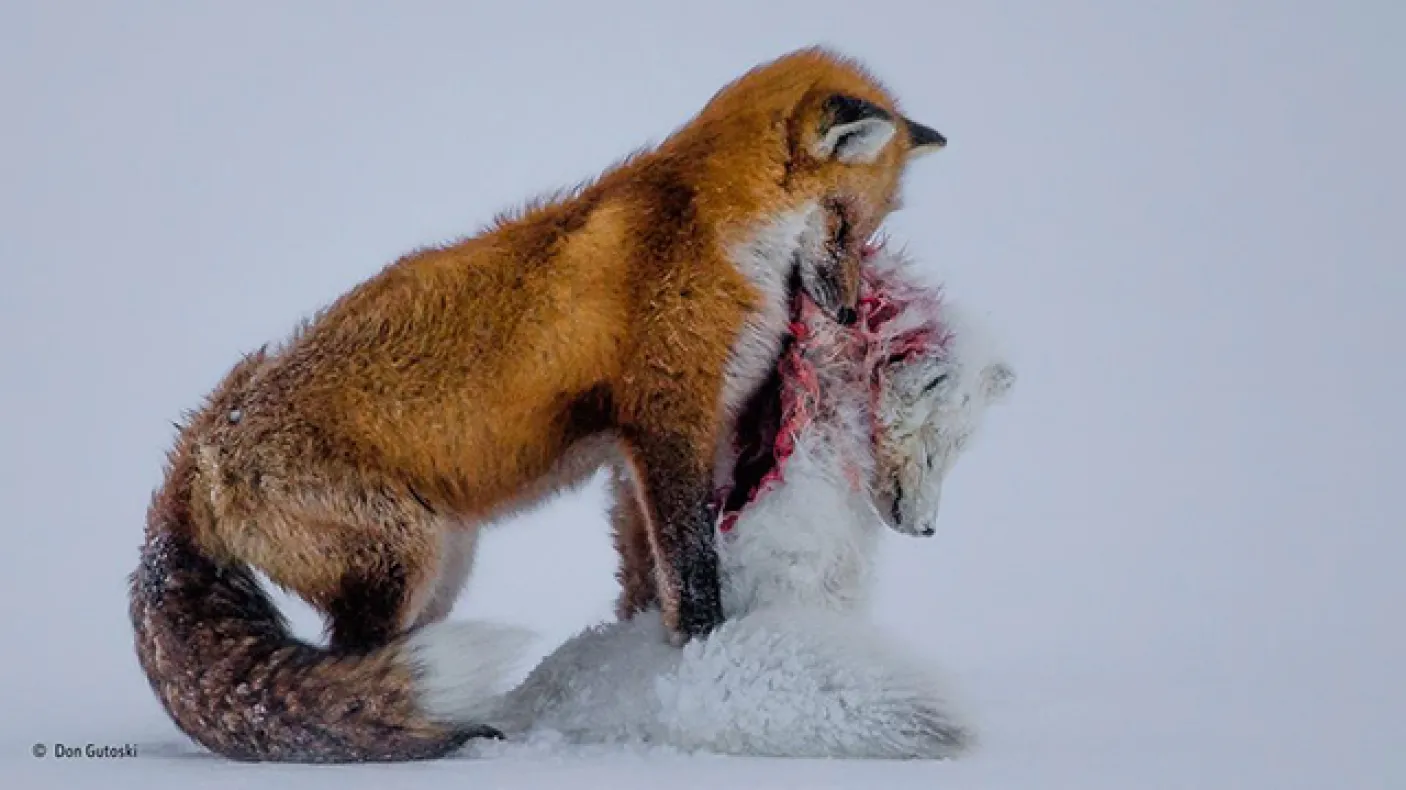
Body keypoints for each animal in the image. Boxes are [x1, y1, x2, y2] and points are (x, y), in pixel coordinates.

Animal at [128, 45, 948, 763]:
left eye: (866, 230)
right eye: (842, 222)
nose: (846, 313)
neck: (715, 232)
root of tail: (198, 447)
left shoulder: (637, 455)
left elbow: (646, 579)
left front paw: (647, 664)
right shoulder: (667, 422)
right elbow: (691, 573)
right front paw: (704, 658)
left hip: (442, 566)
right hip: (407, 558)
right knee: (353, 679)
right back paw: (432, 742)